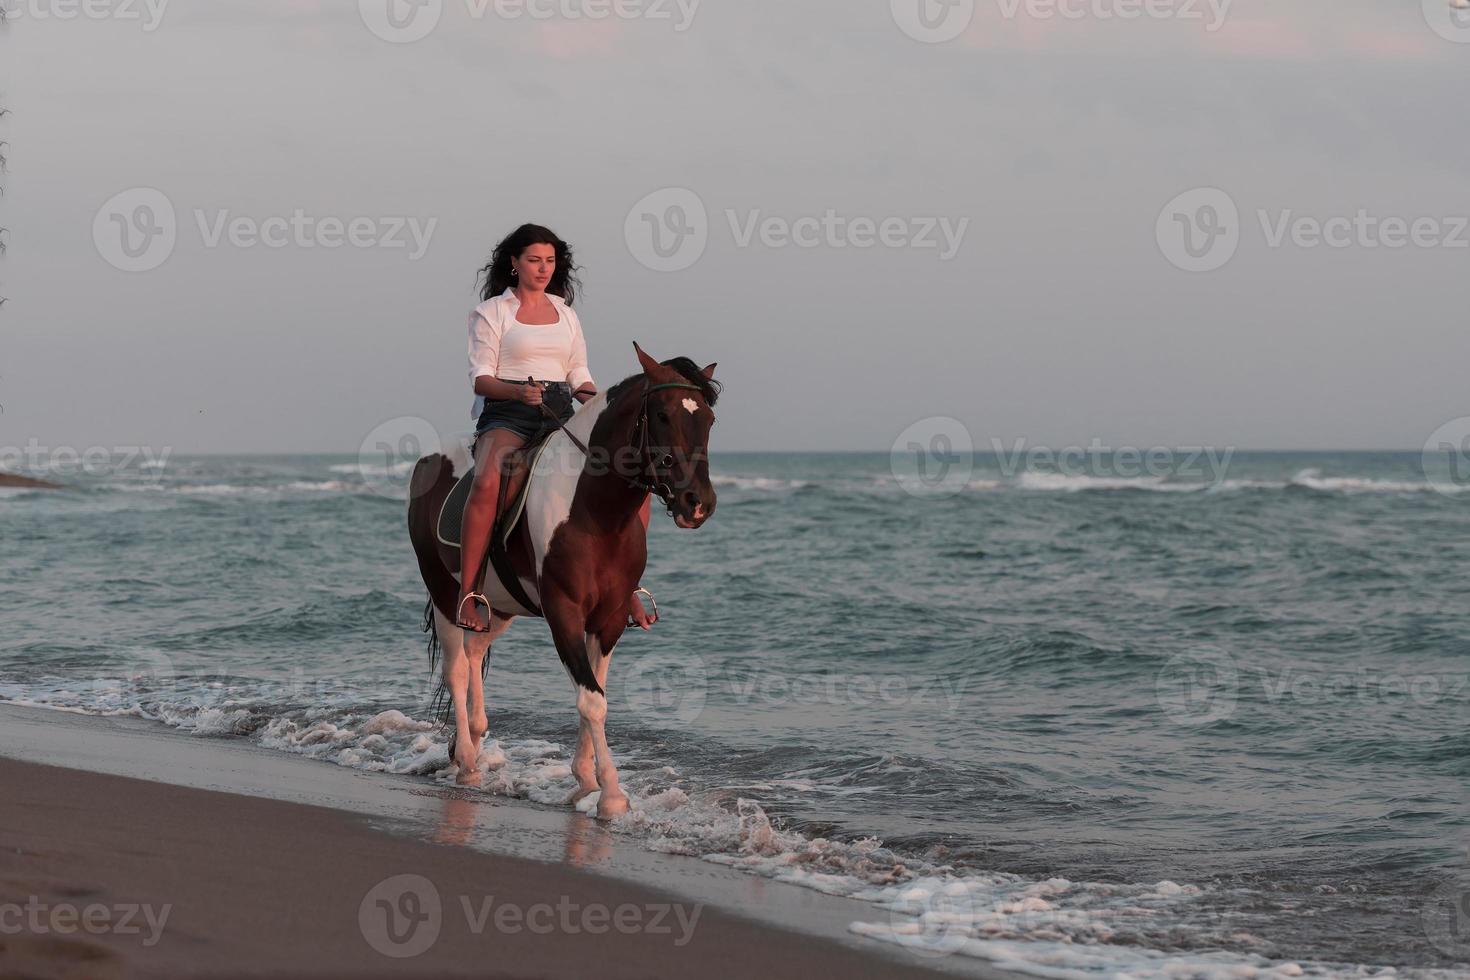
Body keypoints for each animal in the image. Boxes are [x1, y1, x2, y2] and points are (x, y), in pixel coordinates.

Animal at [408, 345, 717, 822]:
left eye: (709, 419)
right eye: (663, 415)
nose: (697, 503)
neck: (595, 512)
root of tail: (429, 460)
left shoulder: (609, 619)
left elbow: (596, 694)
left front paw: (584, 779)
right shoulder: (563, 612)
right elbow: (591, 700)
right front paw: (610, 795)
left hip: (497, 606)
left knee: (475, 653)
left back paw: (474, 738)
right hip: (445, 595)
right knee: (457, 668)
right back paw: (468, 765)